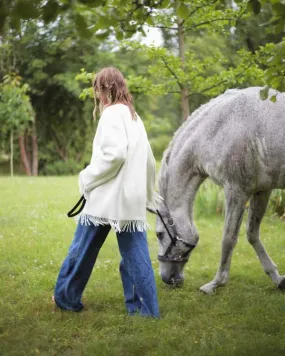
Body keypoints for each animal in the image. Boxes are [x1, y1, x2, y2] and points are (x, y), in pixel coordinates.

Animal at [152, 87, 285, 294]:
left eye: (159, 234)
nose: (167, 279)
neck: (218, 128)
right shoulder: (262, 191)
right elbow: (252, 234)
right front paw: (277, 278)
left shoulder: (236, 191)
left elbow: (228, 239)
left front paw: (216, 282)